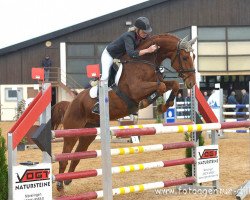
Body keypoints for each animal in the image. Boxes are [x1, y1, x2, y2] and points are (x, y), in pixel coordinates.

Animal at [56, 34, 197, 191]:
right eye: (184, 57)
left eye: (194, 56)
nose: (191, 83)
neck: (146, 62)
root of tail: (72, 102)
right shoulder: (136, 89)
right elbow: (160, 87)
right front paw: (146, 103)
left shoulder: (157, 83)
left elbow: (172, 84)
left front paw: (164, 106)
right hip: (72, 131)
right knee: (64, 156)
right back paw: (60, 185)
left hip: (89, 133)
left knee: (76, 155)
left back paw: (68, 180)